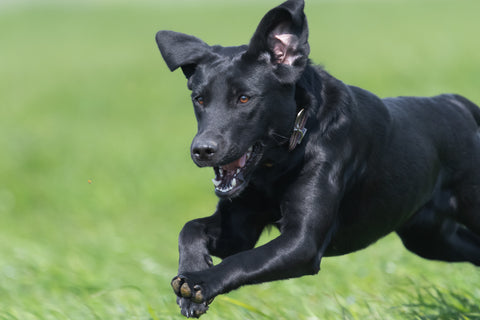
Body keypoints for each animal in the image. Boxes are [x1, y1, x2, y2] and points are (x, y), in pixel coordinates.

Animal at [156, 0, 478, 318]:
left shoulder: (302, 242)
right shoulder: (238, 230)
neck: (279, 162)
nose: (202, 150)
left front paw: (199, 283)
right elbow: (190, 229)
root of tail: (460, 104)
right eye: (199, 99)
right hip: (429, 238)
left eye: (244, 98)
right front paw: (191, 279)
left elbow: (243, 260)